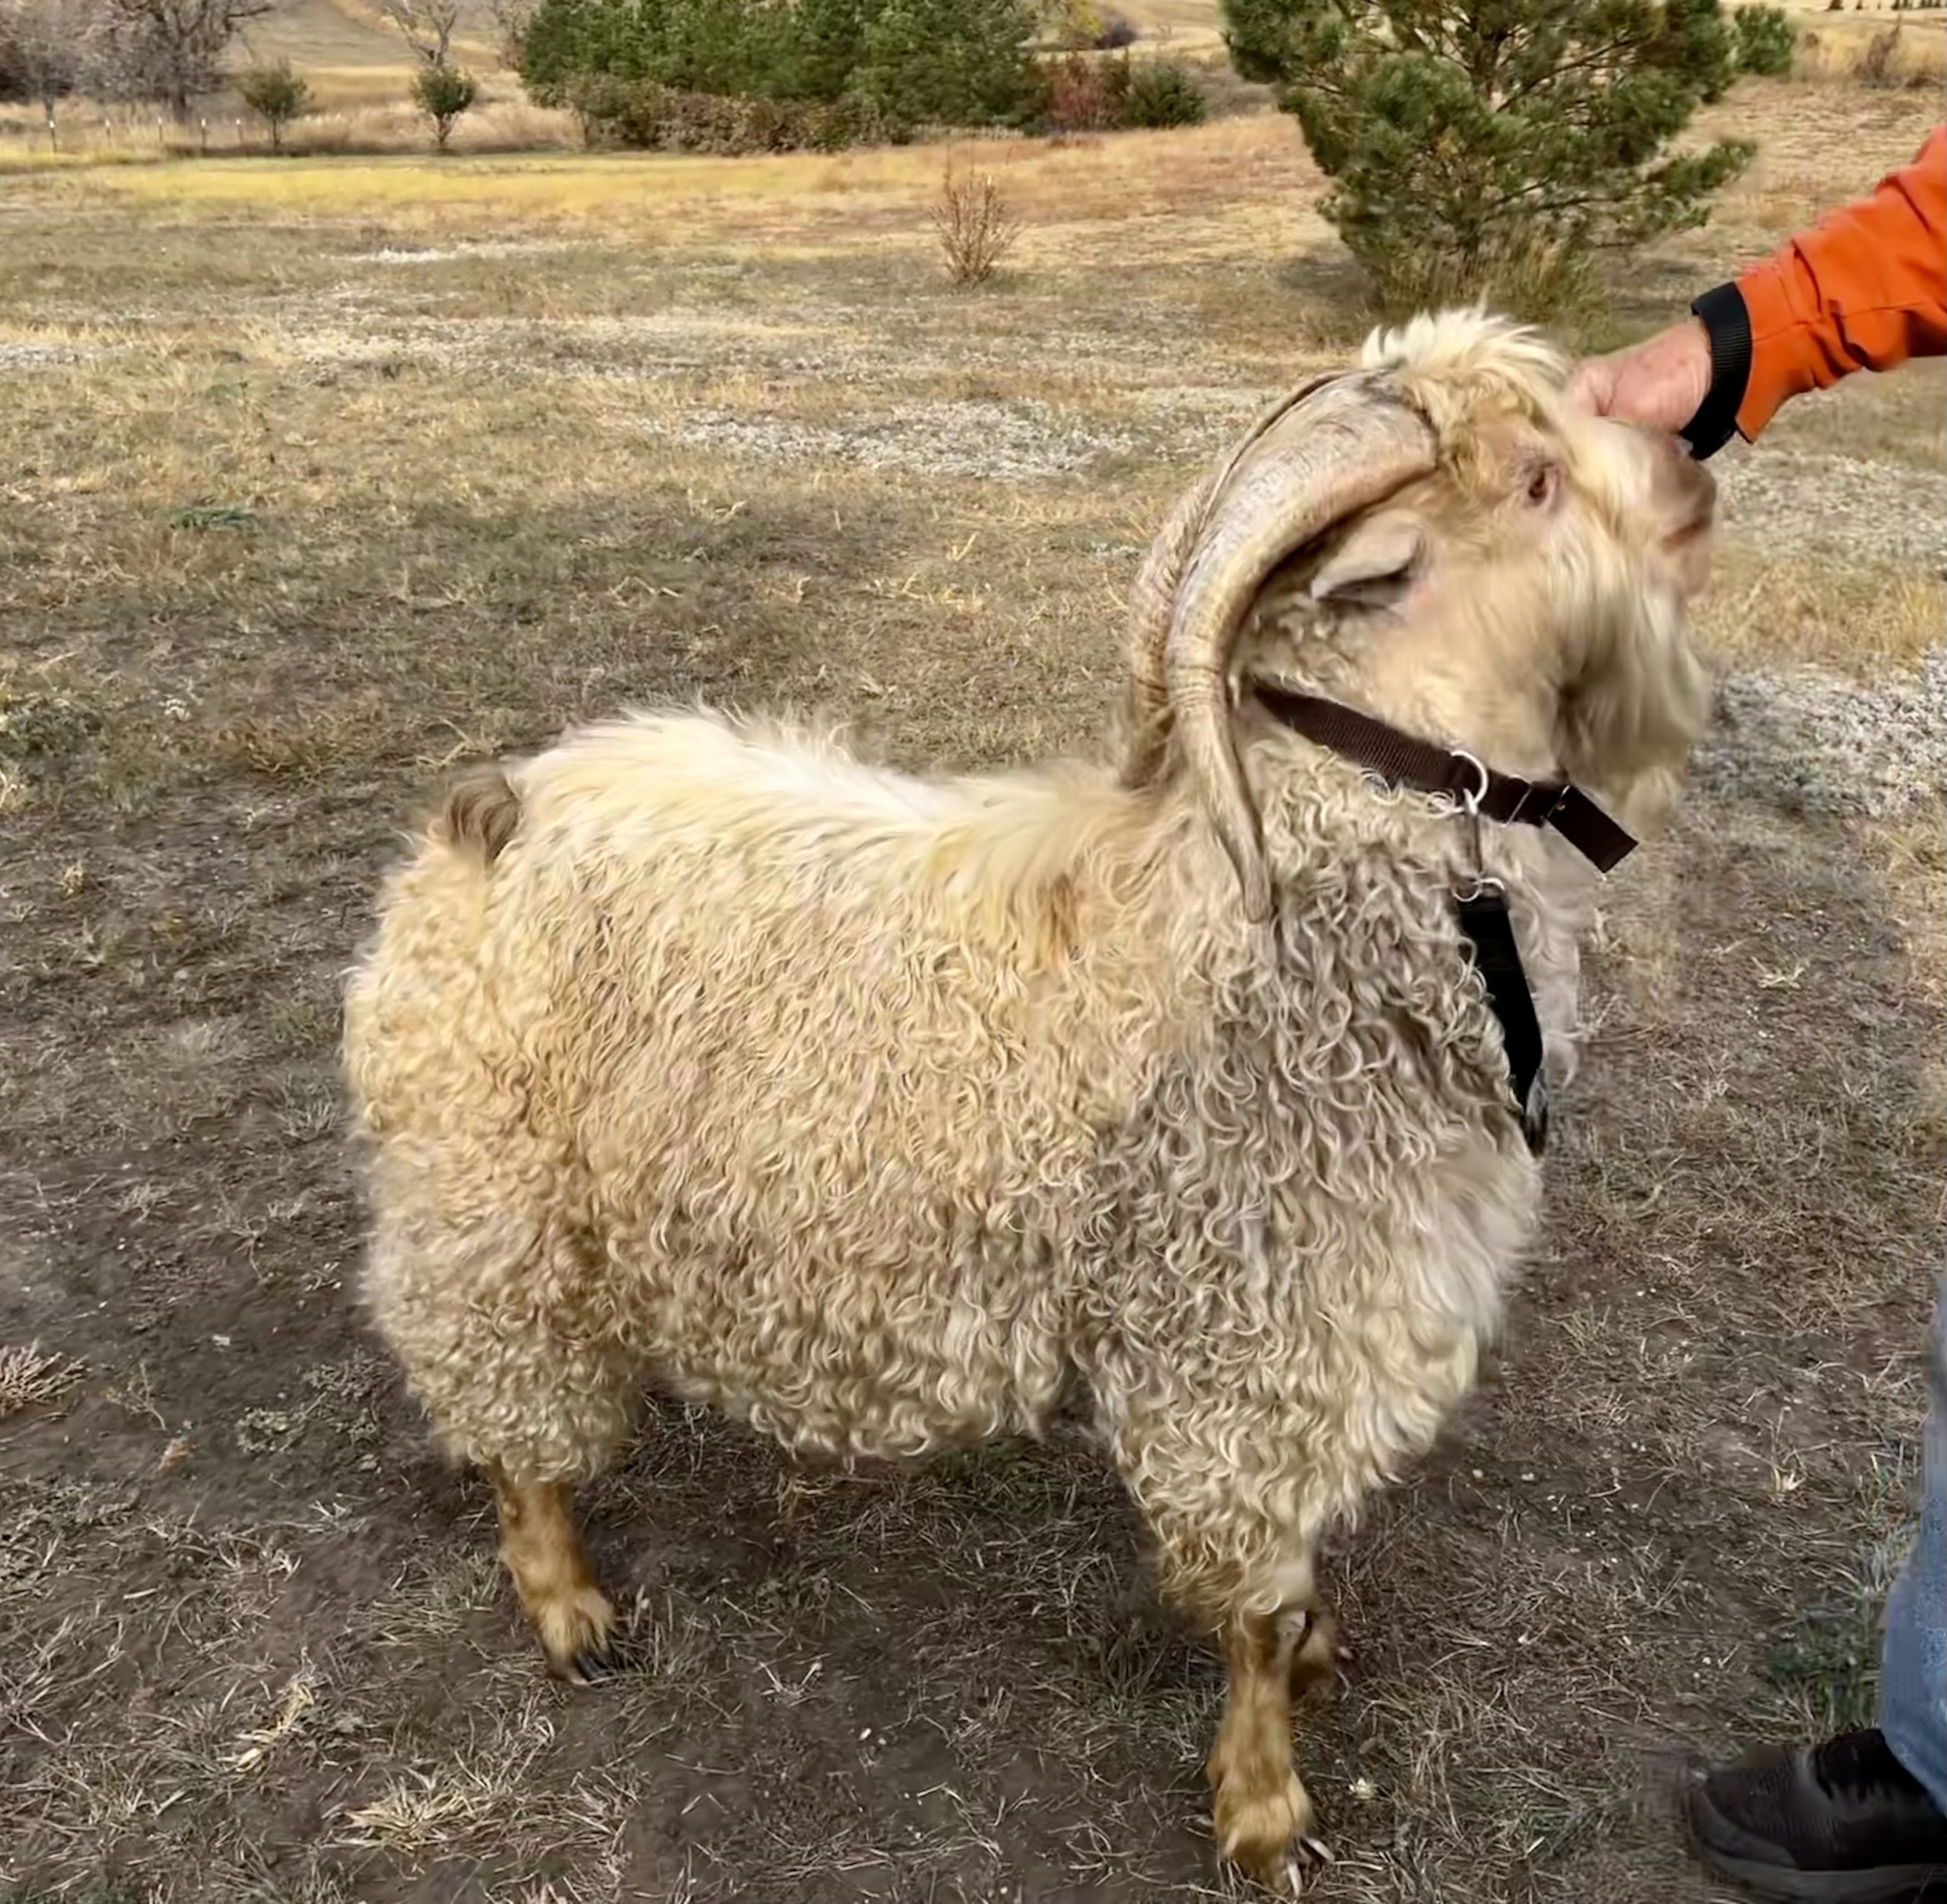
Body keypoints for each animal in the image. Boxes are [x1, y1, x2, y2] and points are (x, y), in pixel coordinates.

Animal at [342, 307, 1713, 1884]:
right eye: (1539, 483)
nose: (1696, 477)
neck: (1281, 906)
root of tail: (488, 813)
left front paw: (1313, 1668)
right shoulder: (1242, 1347)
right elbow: (1255, 1609)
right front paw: (1263, 1805)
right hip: (485, 1203)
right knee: (511, 1424)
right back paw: (570, 1605)